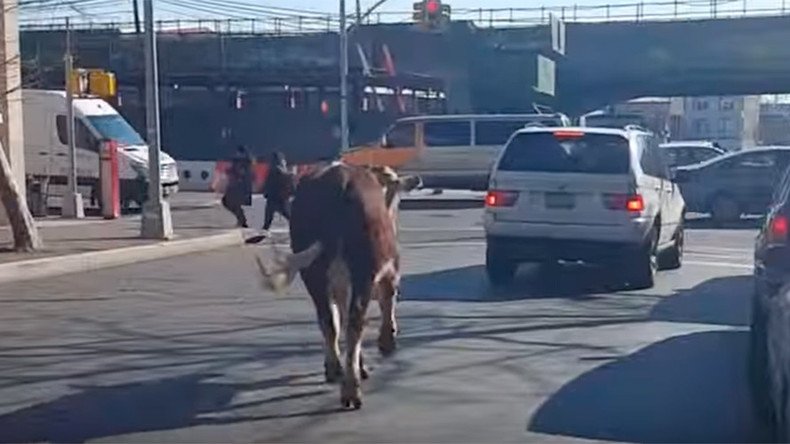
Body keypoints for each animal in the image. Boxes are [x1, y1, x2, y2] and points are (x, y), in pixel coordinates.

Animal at [258, 162, 420, 410]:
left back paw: (335, 369)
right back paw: (352, 390)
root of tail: (339, 181)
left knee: (328, 320)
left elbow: (339, 317)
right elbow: (387, 303)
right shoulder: (390, 272)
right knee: (355, 323)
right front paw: (387, 341)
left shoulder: (340, 285)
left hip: (314, 273)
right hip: (362, 271)